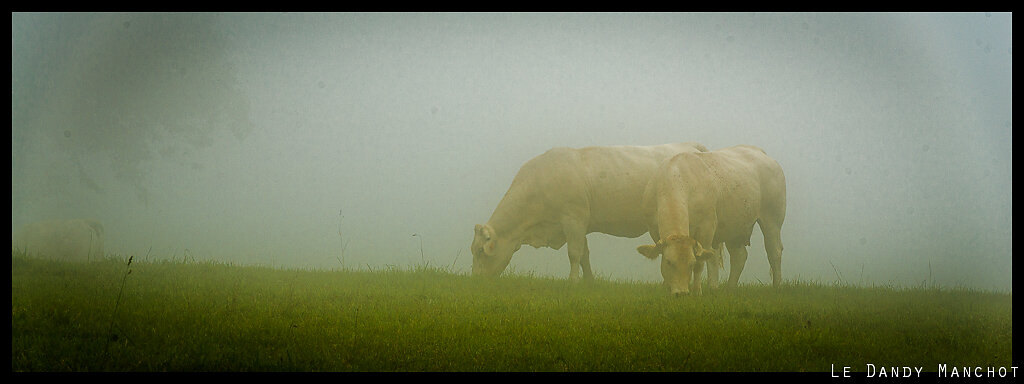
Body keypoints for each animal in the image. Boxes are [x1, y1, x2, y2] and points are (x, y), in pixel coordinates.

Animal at [473, 143, 712, 280]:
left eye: (481, 252)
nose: (475, 280)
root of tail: (690, 145)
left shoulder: (573, 219)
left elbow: (574, 253)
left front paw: (573, 281)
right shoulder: (580, 224)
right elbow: (584, 255)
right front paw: (589, 281)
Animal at [634, 145, 786, 296]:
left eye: (691, 263)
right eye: (669, 262)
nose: (681, 293)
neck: (676, 177)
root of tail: (759, 152)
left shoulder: (706, 229)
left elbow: (701, 262)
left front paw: (697, 291)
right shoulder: (654, 230)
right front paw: (667, 288)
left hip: (773, 219)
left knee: (774, 251)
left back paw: (777, 286)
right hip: (734, 228)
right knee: (739, 256)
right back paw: (730, 288)